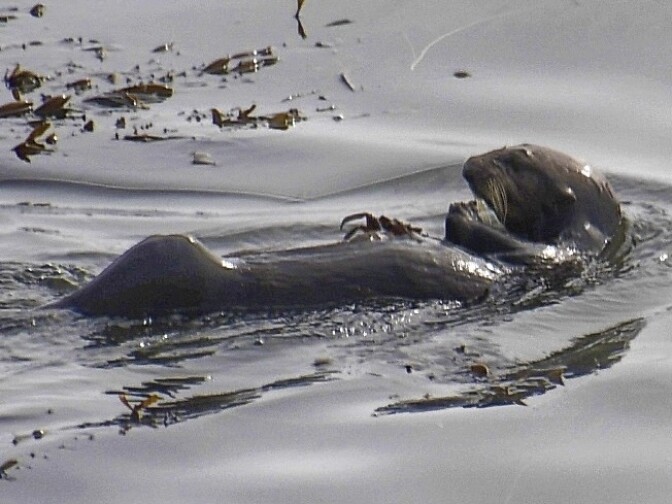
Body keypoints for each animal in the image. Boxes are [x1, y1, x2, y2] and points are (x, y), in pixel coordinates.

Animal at [49, 144, 626, 318]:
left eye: (516, 159)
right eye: (504, 145)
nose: (468, 167)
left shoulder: (561, 260)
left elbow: (515, 250)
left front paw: (463, 213)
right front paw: (386, 223)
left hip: (181, 266)